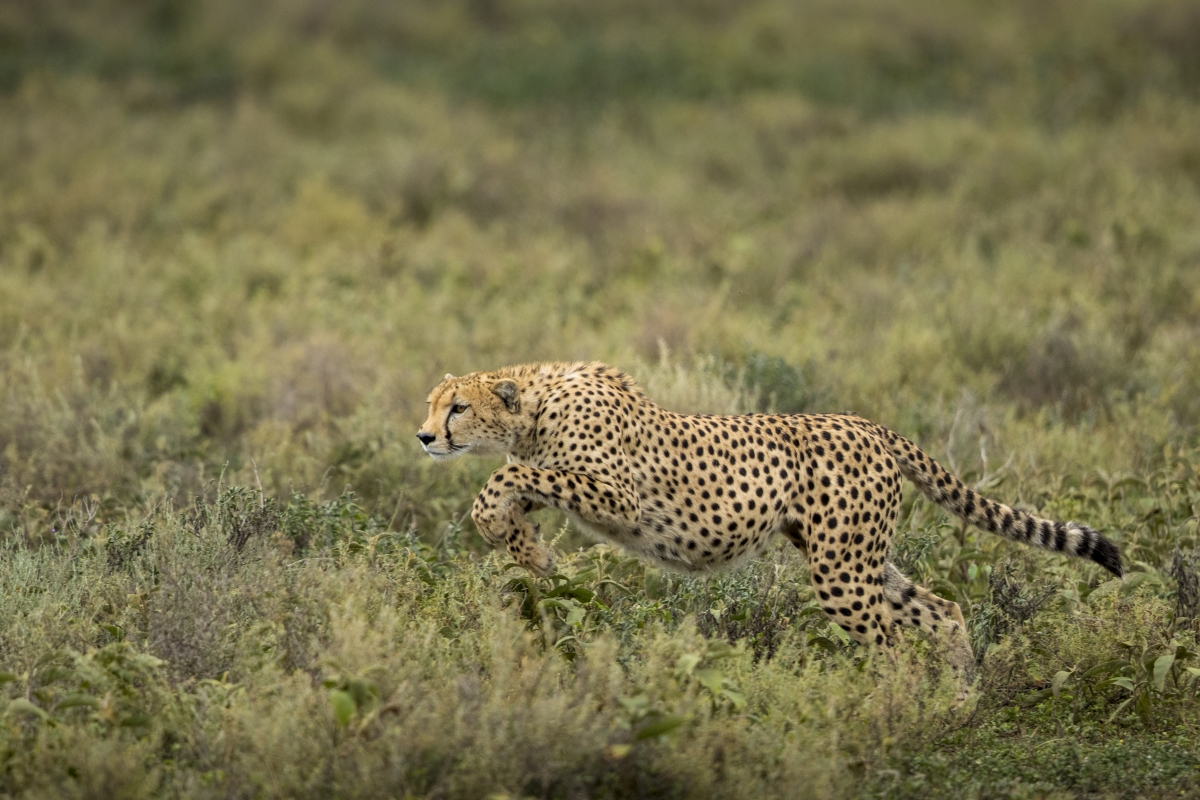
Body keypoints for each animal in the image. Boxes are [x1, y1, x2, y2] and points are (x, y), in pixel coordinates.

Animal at [417, 362, 1118, 676]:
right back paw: (960, 700)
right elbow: (511, 489)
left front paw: (522, 545)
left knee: (892, 647)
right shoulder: (564, 480)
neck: (534, 405)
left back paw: (890, 712)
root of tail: (868, 423)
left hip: (841, 573)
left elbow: (502, 482)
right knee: (941, 608)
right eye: (430, 404)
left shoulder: (617, 497)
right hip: (855, 557)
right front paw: (529, 551)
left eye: (457, 408)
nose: (423, 437)